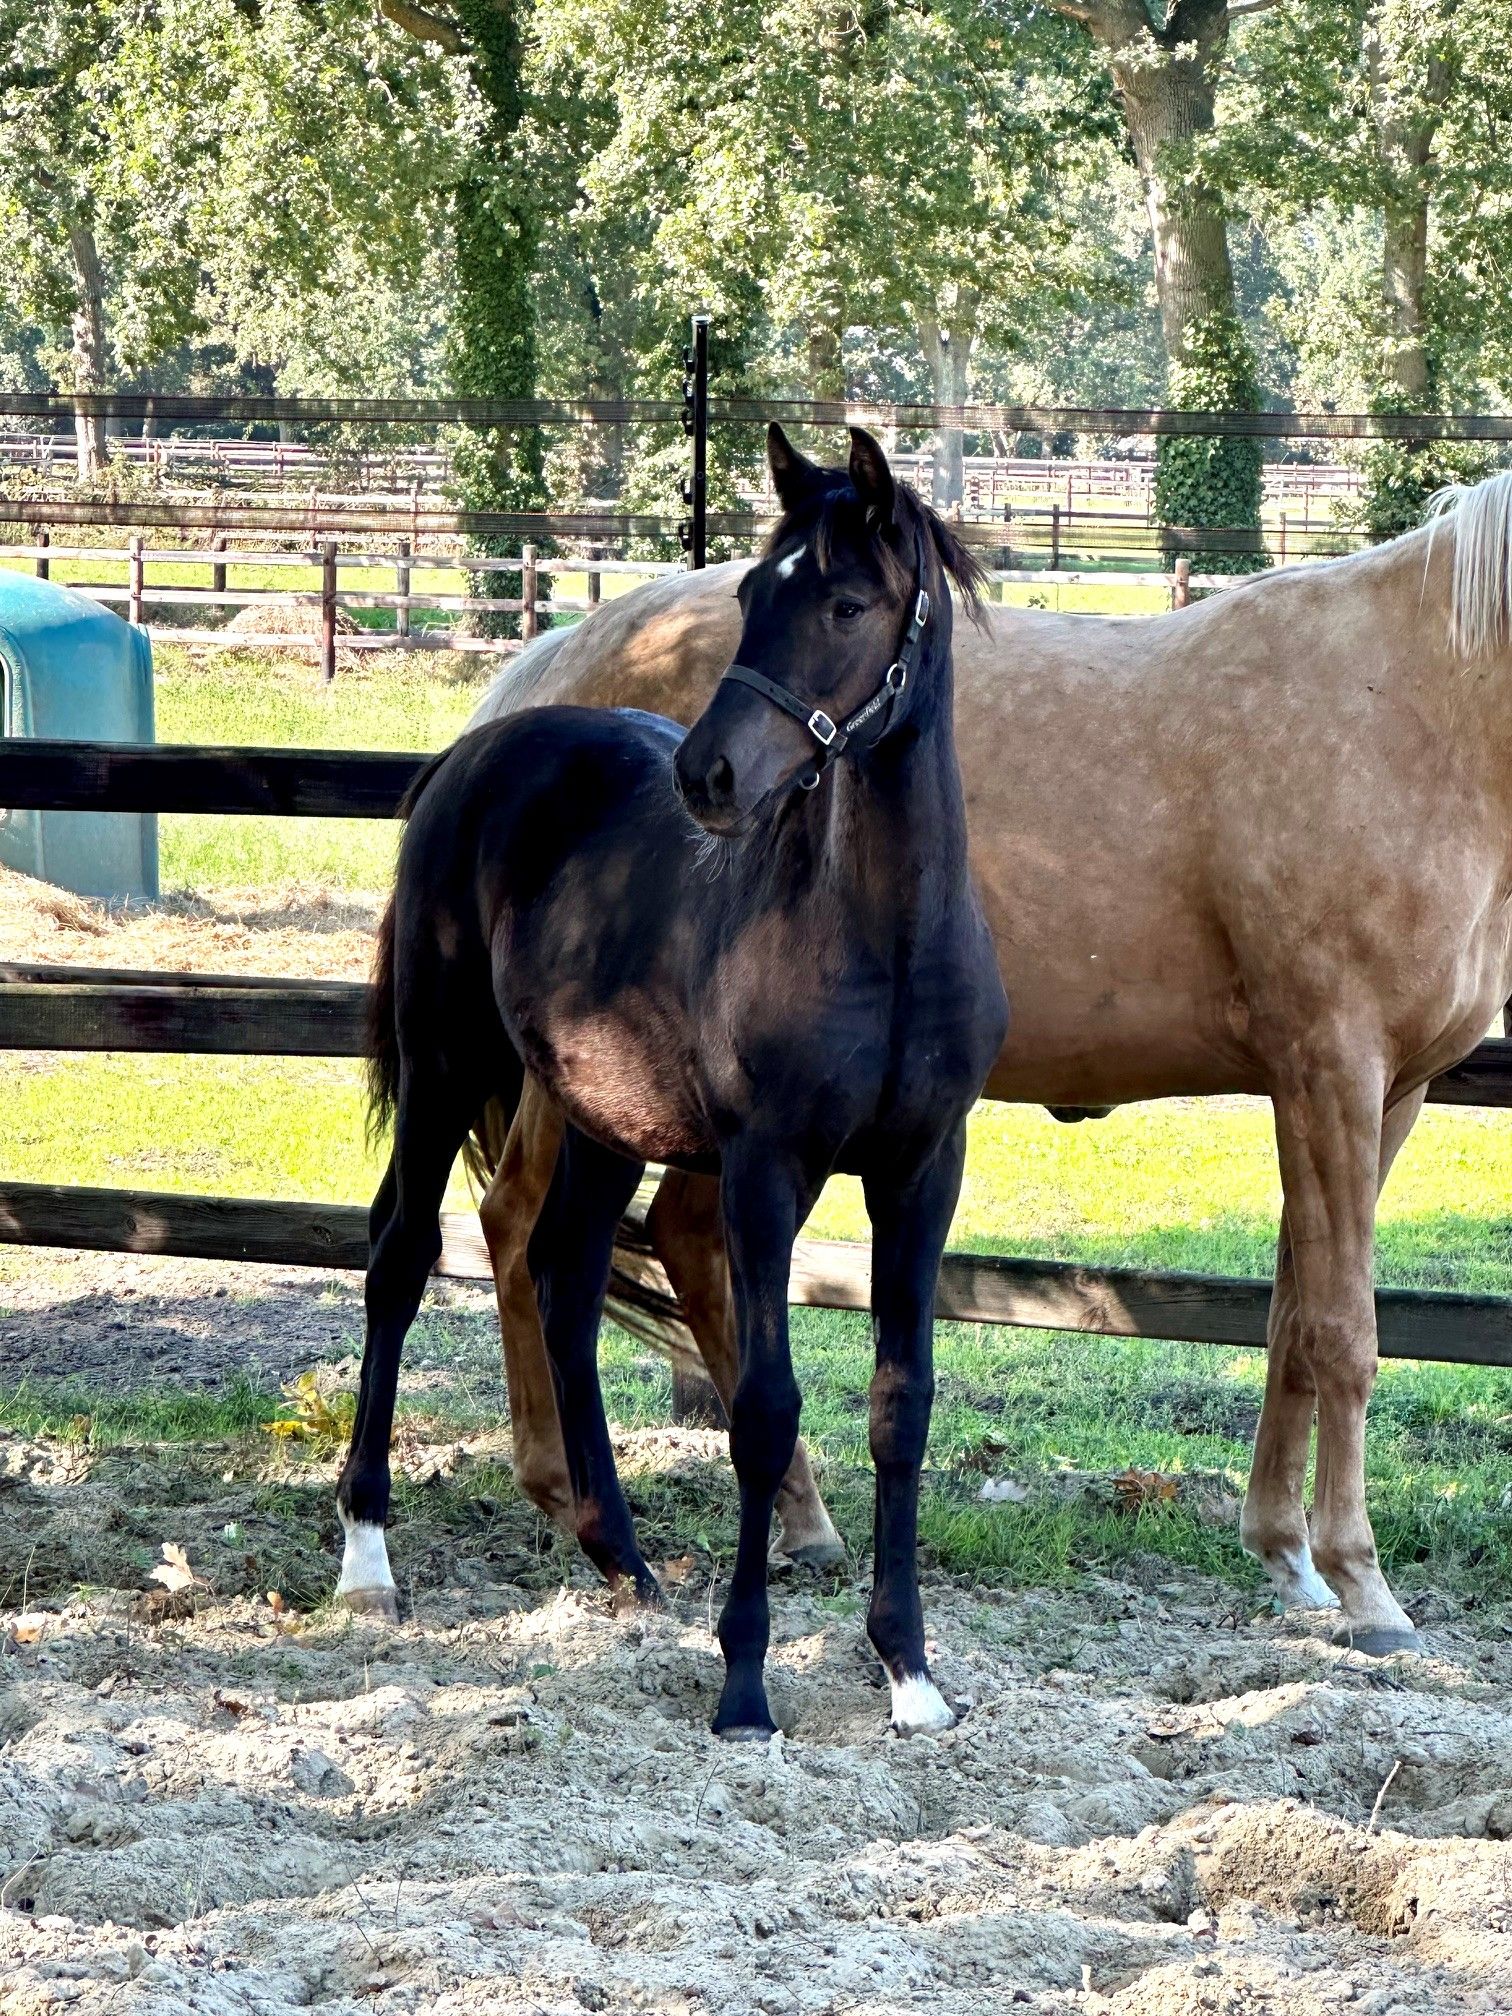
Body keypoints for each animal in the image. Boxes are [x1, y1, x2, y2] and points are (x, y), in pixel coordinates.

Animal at [340, 426, 1008, 1739]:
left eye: (847, 603)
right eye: (752, 593)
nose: (710, 777)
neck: (884, 941)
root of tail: (476, 750)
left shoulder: (922, 1172)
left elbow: (900, 1410)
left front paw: (909, 1672)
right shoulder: (766, 1170)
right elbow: (764, 1409)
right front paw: (745, 1683)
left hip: (601, 1113)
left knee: (561, 1270)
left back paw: (623, 1556)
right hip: (445, 1068)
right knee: (399, 1258)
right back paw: (368, 1558)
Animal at [466, 468, 1512, 1660]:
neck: (1414, 704)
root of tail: (559, 663)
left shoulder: (1379, 1091)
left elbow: (1297, 1312)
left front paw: (1288, 1555)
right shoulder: (1334, 1067)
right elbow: (1345, 1331)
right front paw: (1362, 1584)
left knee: (640, 1237)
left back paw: (784, 1519)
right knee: (526, 1229)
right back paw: (578, 1494)